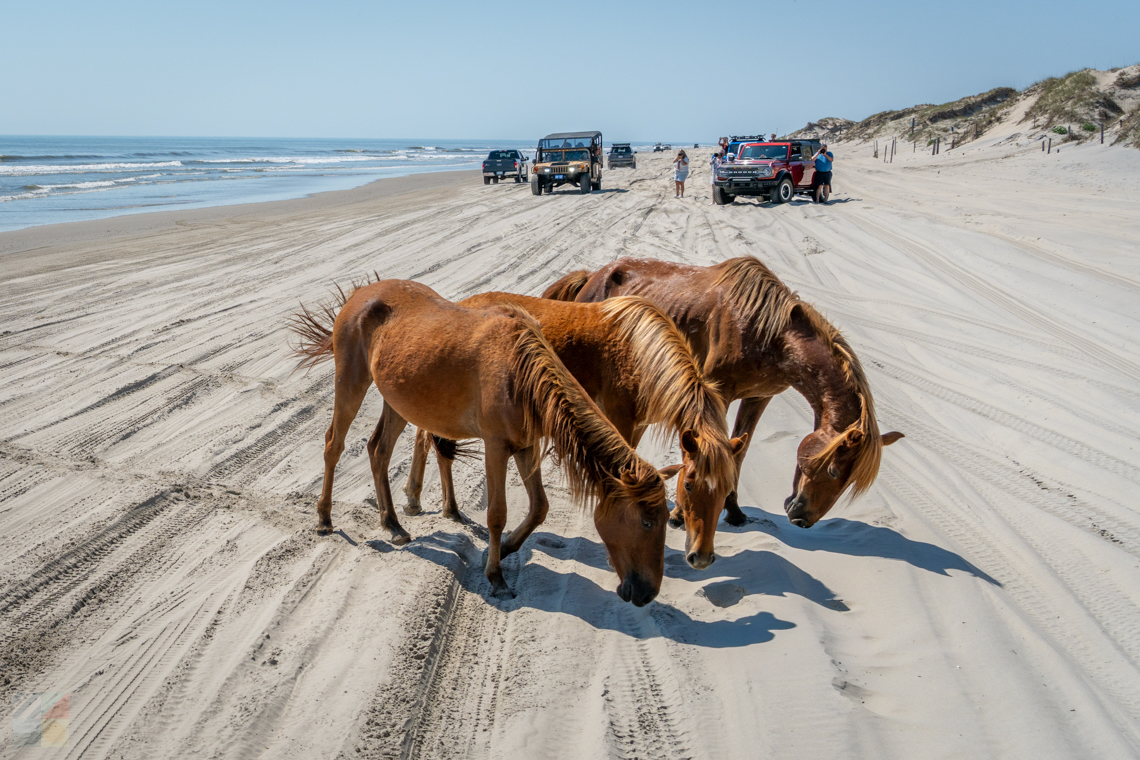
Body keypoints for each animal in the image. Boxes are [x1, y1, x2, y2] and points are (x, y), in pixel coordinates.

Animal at [289, 279, 671, 605]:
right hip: (350, 384)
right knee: (334, 446)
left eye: (667, 519)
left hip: (397, 400)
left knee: (378, 450)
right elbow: (497, 514)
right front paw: (497, 576)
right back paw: (324, 518)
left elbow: (539, 507)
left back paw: (393, 524)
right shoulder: (496, 447)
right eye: (646, 522)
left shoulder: (527, 447)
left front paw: (509, 546)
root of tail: (360, 294)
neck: (521, 372)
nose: (648, 592)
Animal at [402, 293, 746, 570]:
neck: (640, 355)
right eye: (689, 485)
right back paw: (421, 501)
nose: (702, 558)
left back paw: (433, 504)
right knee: (427, 440)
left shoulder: (637, 426)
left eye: (728, 489)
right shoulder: (619, 420)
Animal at [542, 256, 904, 528]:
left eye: (847, 481)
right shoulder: (717, 392)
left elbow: (738, 452)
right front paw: (679, 515)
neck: (771, 334)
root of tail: (592, 277)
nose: (802, 519)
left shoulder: (758, 397)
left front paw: (733, 510)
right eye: (832, 470)